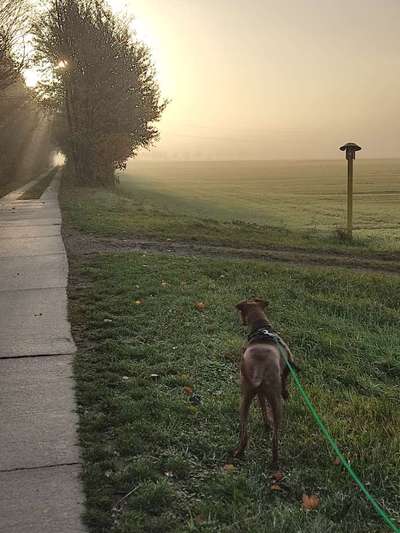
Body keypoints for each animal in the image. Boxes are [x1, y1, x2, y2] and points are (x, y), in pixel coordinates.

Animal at [234, 298, 296, 468]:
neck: (262, 330)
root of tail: (259, 369)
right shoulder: (289, 361)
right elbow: (285, 379)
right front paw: (286, 393)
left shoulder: (260, 393)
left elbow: (262, 407)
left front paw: (266, 423)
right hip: (276, 402)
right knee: (275, 439)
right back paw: (274, 462)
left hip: (245, 399)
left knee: (245, 433)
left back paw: (239, 453)